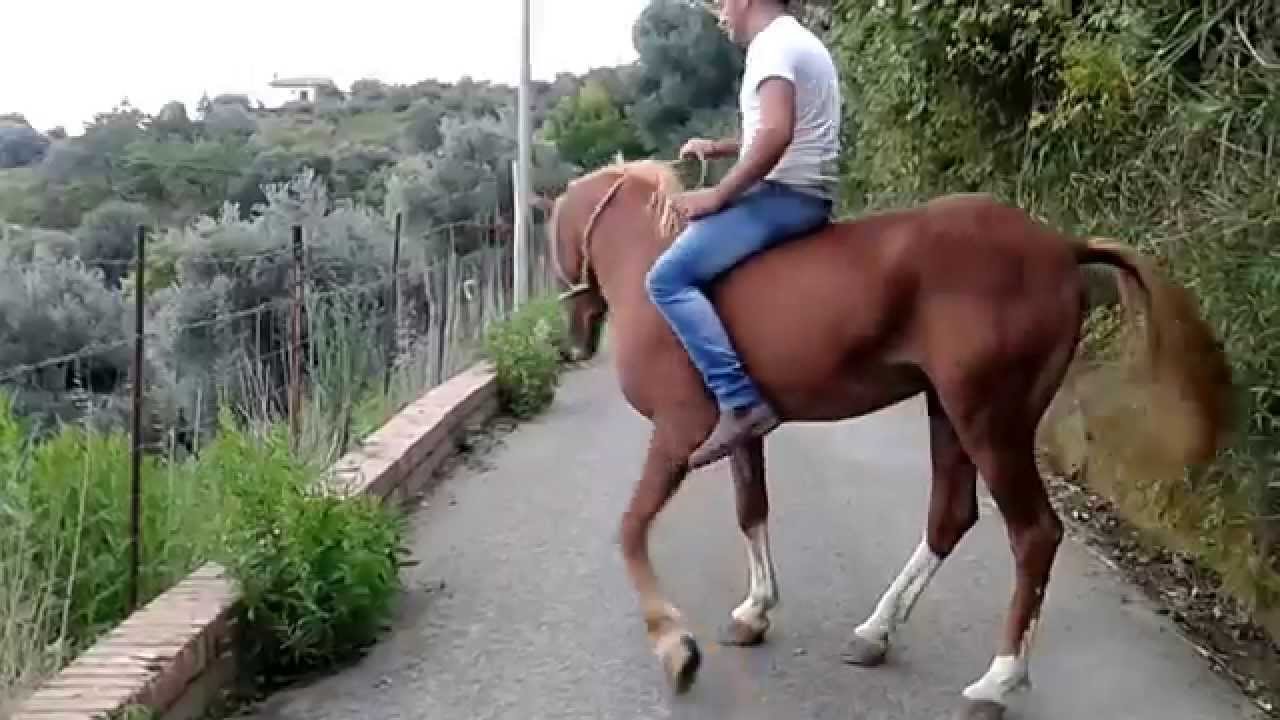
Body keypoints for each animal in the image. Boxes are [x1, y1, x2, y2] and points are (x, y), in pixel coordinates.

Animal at [545, 158, 1232, 719]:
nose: (571, 339)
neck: (650, 268)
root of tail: (1061, 247)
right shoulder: (740, 433)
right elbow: (751, 510)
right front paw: (754, 611)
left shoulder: (677, 433)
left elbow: (632, 529)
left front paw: (675, 648)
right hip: (949, 412)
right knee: (951, 517)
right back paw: (876, 633)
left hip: (989, 419)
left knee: (1034, 534)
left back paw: (996, 683)